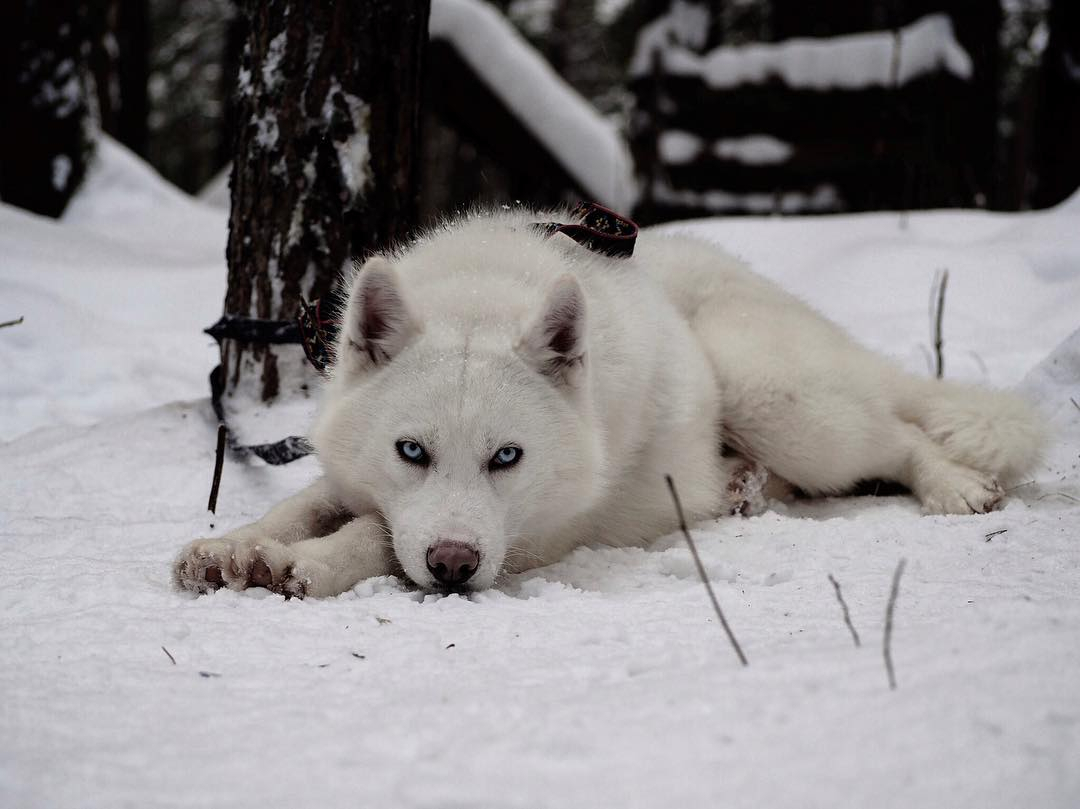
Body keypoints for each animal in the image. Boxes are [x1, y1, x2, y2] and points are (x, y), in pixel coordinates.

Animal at [172, 208, 1041, 596]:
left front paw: (309, 564)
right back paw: (741, 486)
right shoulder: (356, 479)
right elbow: (307, 506)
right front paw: (236, 547)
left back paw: (953, 484)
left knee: (896, 435)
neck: (484, 293)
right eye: (410, 451)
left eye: (508, 457)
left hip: (775, 395)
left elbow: (374, 539)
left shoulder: (539, 534)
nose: (453, 567)